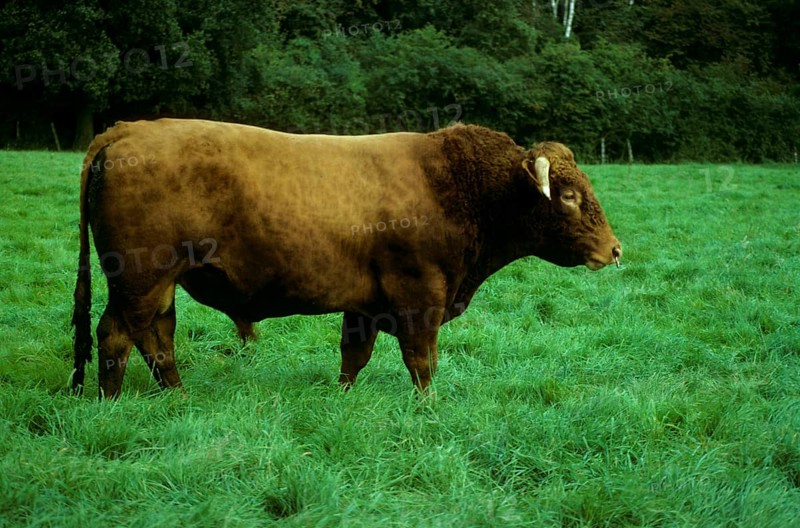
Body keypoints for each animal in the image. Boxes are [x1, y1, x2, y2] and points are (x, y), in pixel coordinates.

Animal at [71, 119, 622, 399]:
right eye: (569, 195)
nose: (615, 249)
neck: (456, 184)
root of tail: (126, 129)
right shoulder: (421, 296)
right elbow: (423, 361)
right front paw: (427, 408)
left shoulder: (364, 305)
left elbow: (353, 356)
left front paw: (341, 399)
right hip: (142, 277)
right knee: (117, 336)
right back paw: (112, 401)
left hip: (158, 284)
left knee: (156, 337)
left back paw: (178, 395)